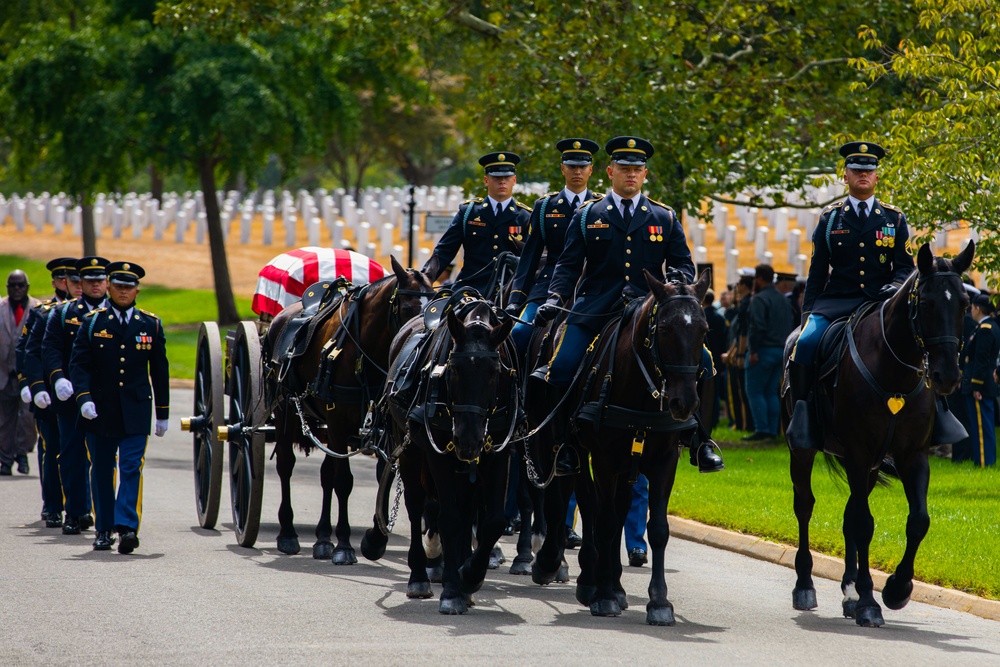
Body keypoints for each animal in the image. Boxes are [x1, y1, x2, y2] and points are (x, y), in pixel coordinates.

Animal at [266, 256, 434, 564]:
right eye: (407, 308)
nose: (422, 341)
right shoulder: (338, 420)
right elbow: (343, 481)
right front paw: (344, 544)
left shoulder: (382, 426)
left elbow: (380, 476)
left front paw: (374, 539)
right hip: (286, 411)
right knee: (286, 465)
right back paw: (288, 533)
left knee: (325, 474)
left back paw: (322, 537)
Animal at [362, 296, 520, 616]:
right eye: (454, 369)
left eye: (495, 372)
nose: (468, 440)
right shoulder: (437, 455)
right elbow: (448, 517)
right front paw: (451, 590)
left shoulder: (498, 453)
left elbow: (492, 521)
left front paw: (469, 575)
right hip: (410, 448)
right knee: (415, 506)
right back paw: (419, 576)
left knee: (465, 510)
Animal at [532, 268, 712, 624]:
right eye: (665, 329)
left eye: (703, 330)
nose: (684, 402)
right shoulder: (603, 458)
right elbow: (603, 519)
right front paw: (602, 596)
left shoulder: (663, 461)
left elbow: (656, 528)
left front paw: (658, 601)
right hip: (569, 448)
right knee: (579, 500)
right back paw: (577, 574)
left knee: (616, 505)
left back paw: (612, 583)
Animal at [780, 243, 976, 628]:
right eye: (926, 303)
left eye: (963, 302)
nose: (947, 376)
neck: (894, 369)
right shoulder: (858, 452)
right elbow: (865, 523)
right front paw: (870, 601)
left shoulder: (912, 455)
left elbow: (918, 520)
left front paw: (896, 589)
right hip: (805, 451)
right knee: (805, 505)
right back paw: (805, 585)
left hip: (867, 466)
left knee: (847, 514)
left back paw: (849, 592)